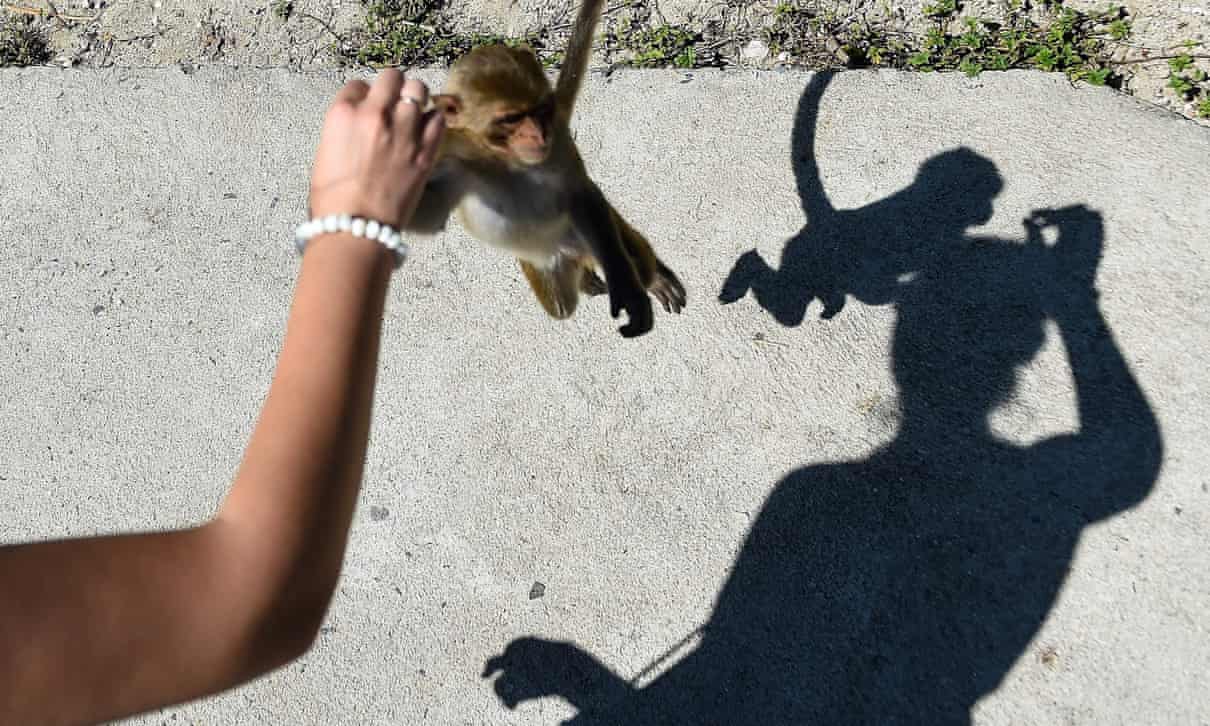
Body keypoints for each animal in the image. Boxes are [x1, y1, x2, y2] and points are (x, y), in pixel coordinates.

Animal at [401, 0, 686, 338]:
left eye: (540, 110)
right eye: (511, 119)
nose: (539, 134)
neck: (505, 160)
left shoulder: (559, 142)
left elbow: (581, 194)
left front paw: (627, 289)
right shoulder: (450, 154)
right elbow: (432, 212)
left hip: (583, 238)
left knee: (626, 254)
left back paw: (652, 276)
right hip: (552, 264)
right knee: (562, 306)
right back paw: (586, 279)